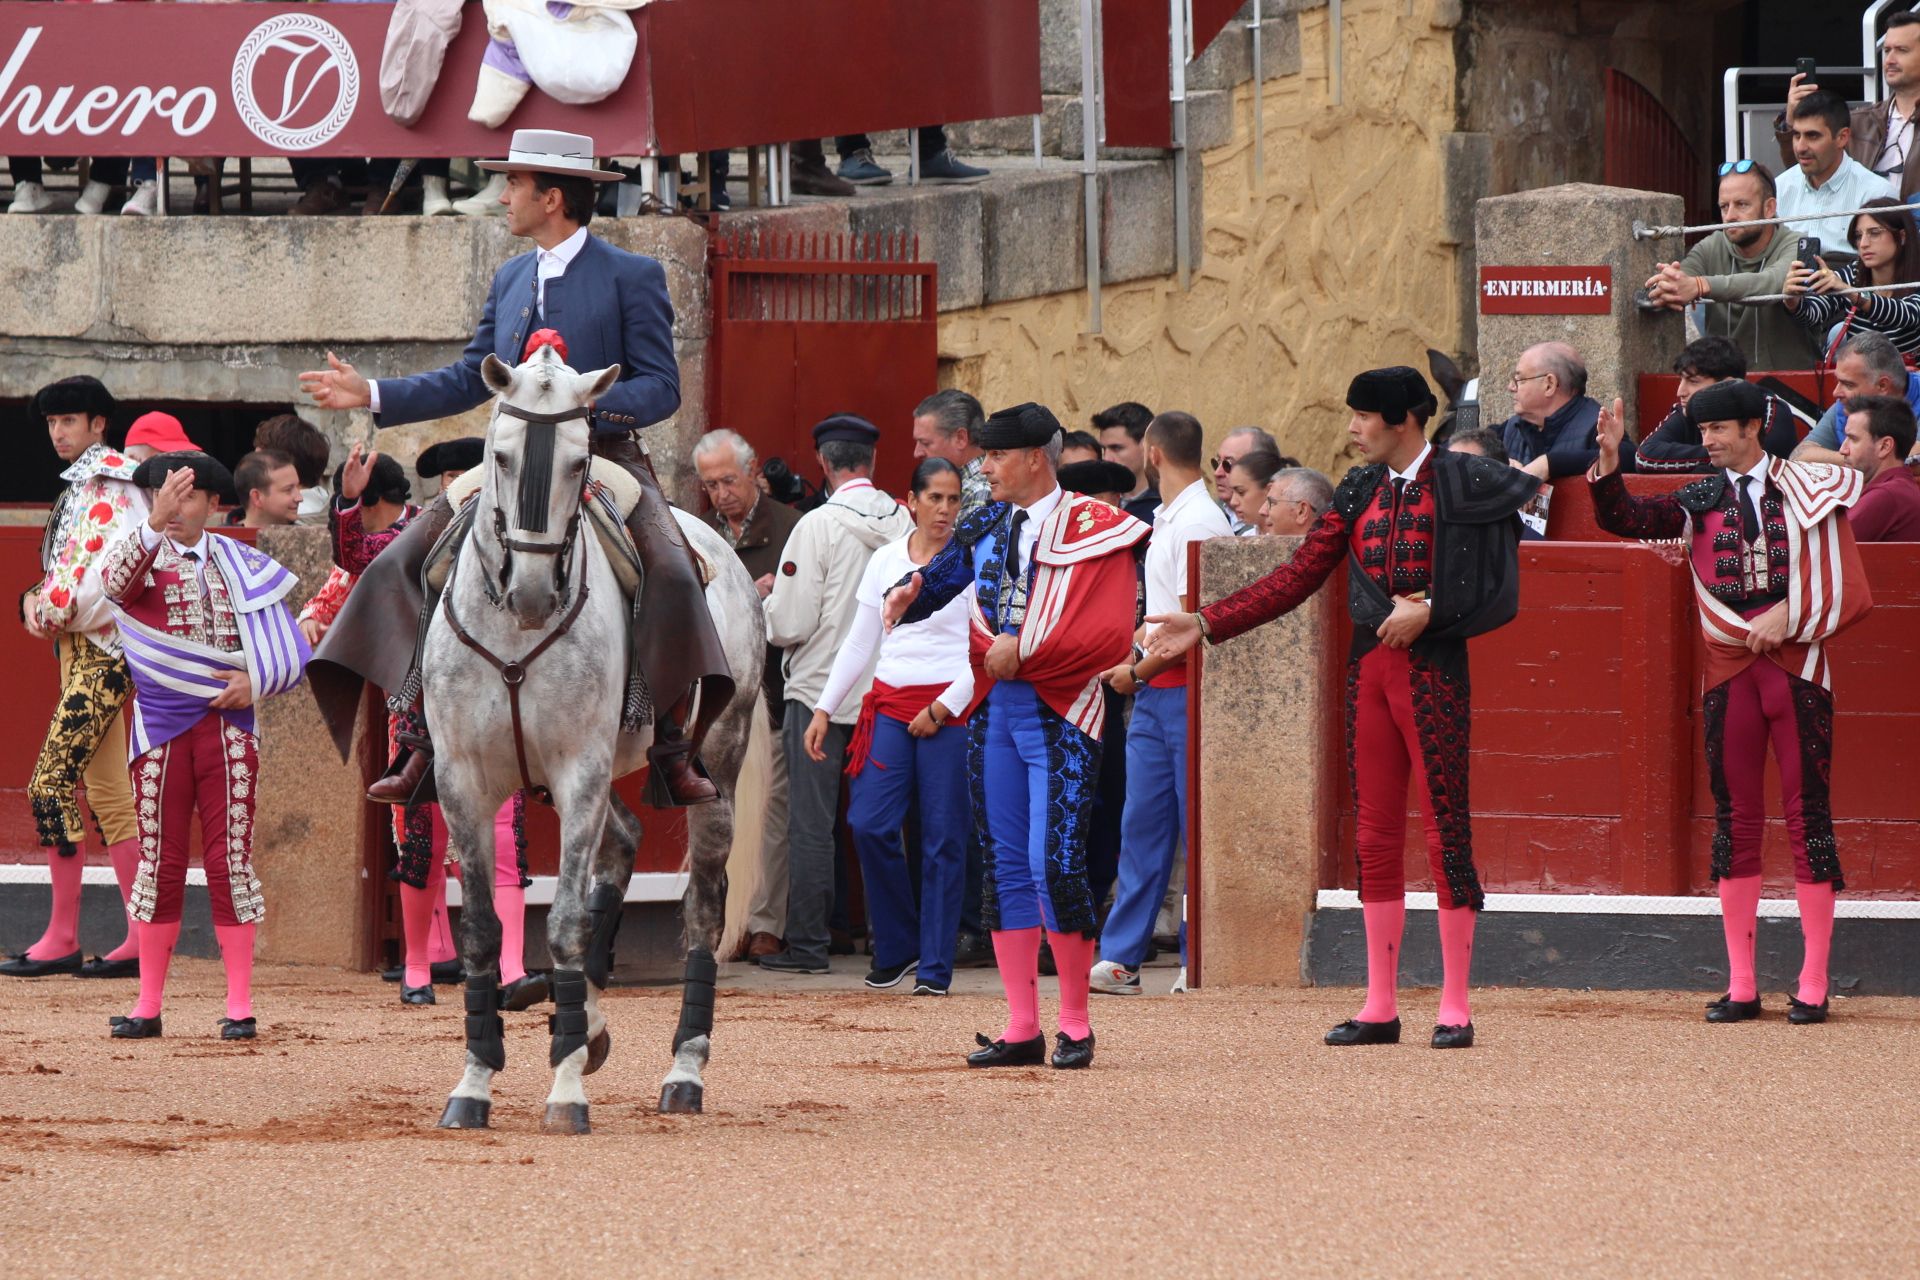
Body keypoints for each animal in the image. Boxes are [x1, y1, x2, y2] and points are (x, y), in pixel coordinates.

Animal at [428, 345, 764, 1136]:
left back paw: (682, 1072)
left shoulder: (576, 769)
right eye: (500, 454)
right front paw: (476, 1081)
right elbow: (482, 927)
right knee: (625, 840)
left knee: (702, 906)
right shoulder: (460, 778)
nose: (531, 594)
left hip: (717, 762)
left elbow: (566, 924)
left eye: (581, 461)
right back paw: (579, 1017)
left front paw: (566, 1089)